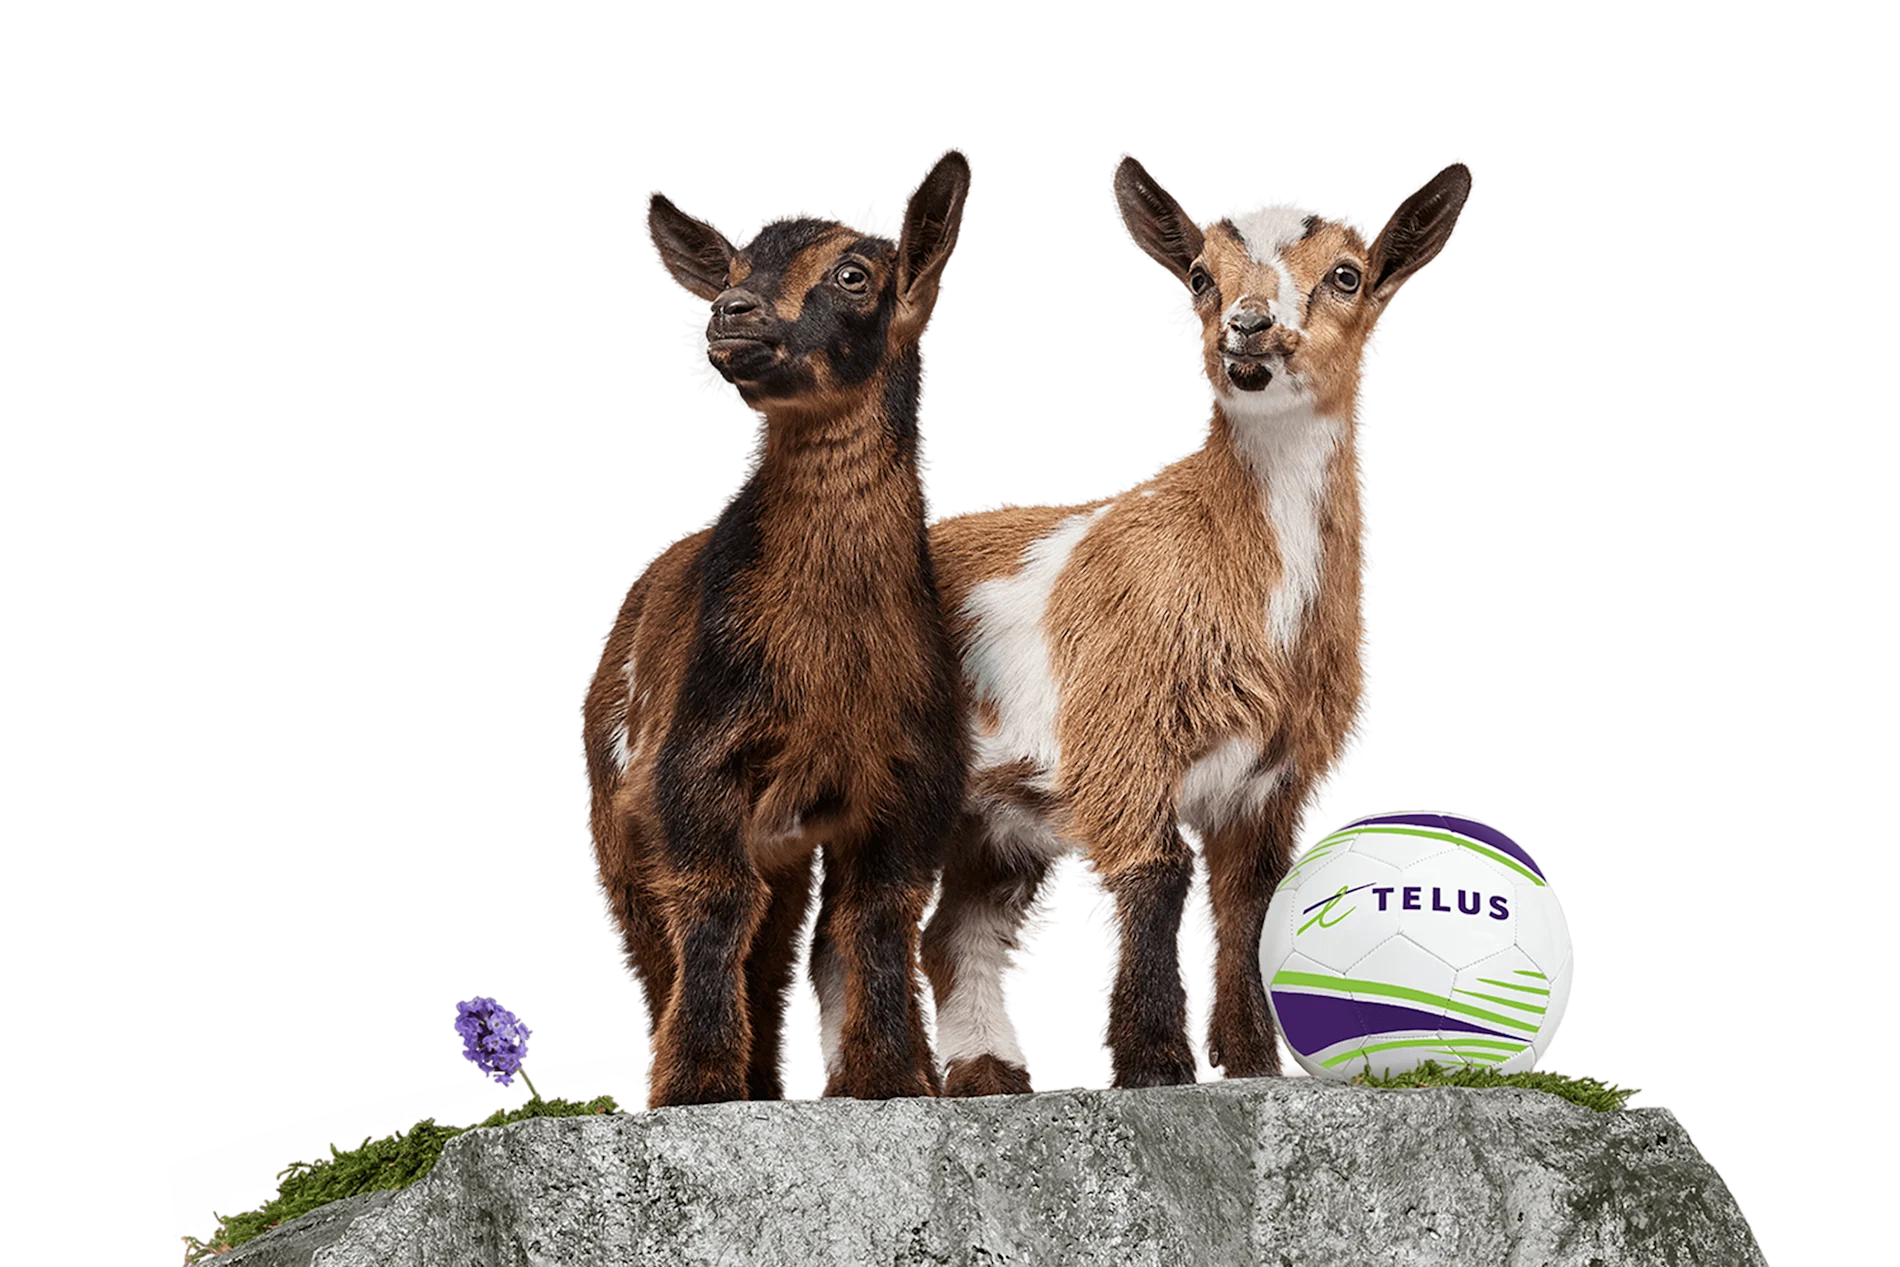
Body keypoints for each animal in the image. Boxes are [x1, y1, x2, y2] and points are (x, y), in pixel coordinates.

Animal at [580, 148, 974, 1108]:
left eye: (855, 273)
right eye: (729, 266)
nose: (731, 312)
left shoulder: (913, 773)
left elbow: (882, 909)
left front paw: (892, 1075)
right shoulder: (694, 760)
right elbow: (714, 897)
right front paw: (692, 1083)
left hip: (788, 842)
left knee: (778, 942)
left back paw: (767, 1081)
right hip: (613, 815)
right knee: (657, 937)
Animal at [921, 154, 1472, 1092]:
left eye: (1347, 275)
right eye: (1201, 277)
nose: (1248, 329)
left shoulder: (1280, 775)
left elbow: (1252, 903)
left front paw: (1255, 1062)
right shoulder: (1129, 735)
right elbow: (1155, 879)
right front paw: (1156, 1065)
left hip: (983, 808)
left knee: (963, 917)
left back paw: (985, 1069)